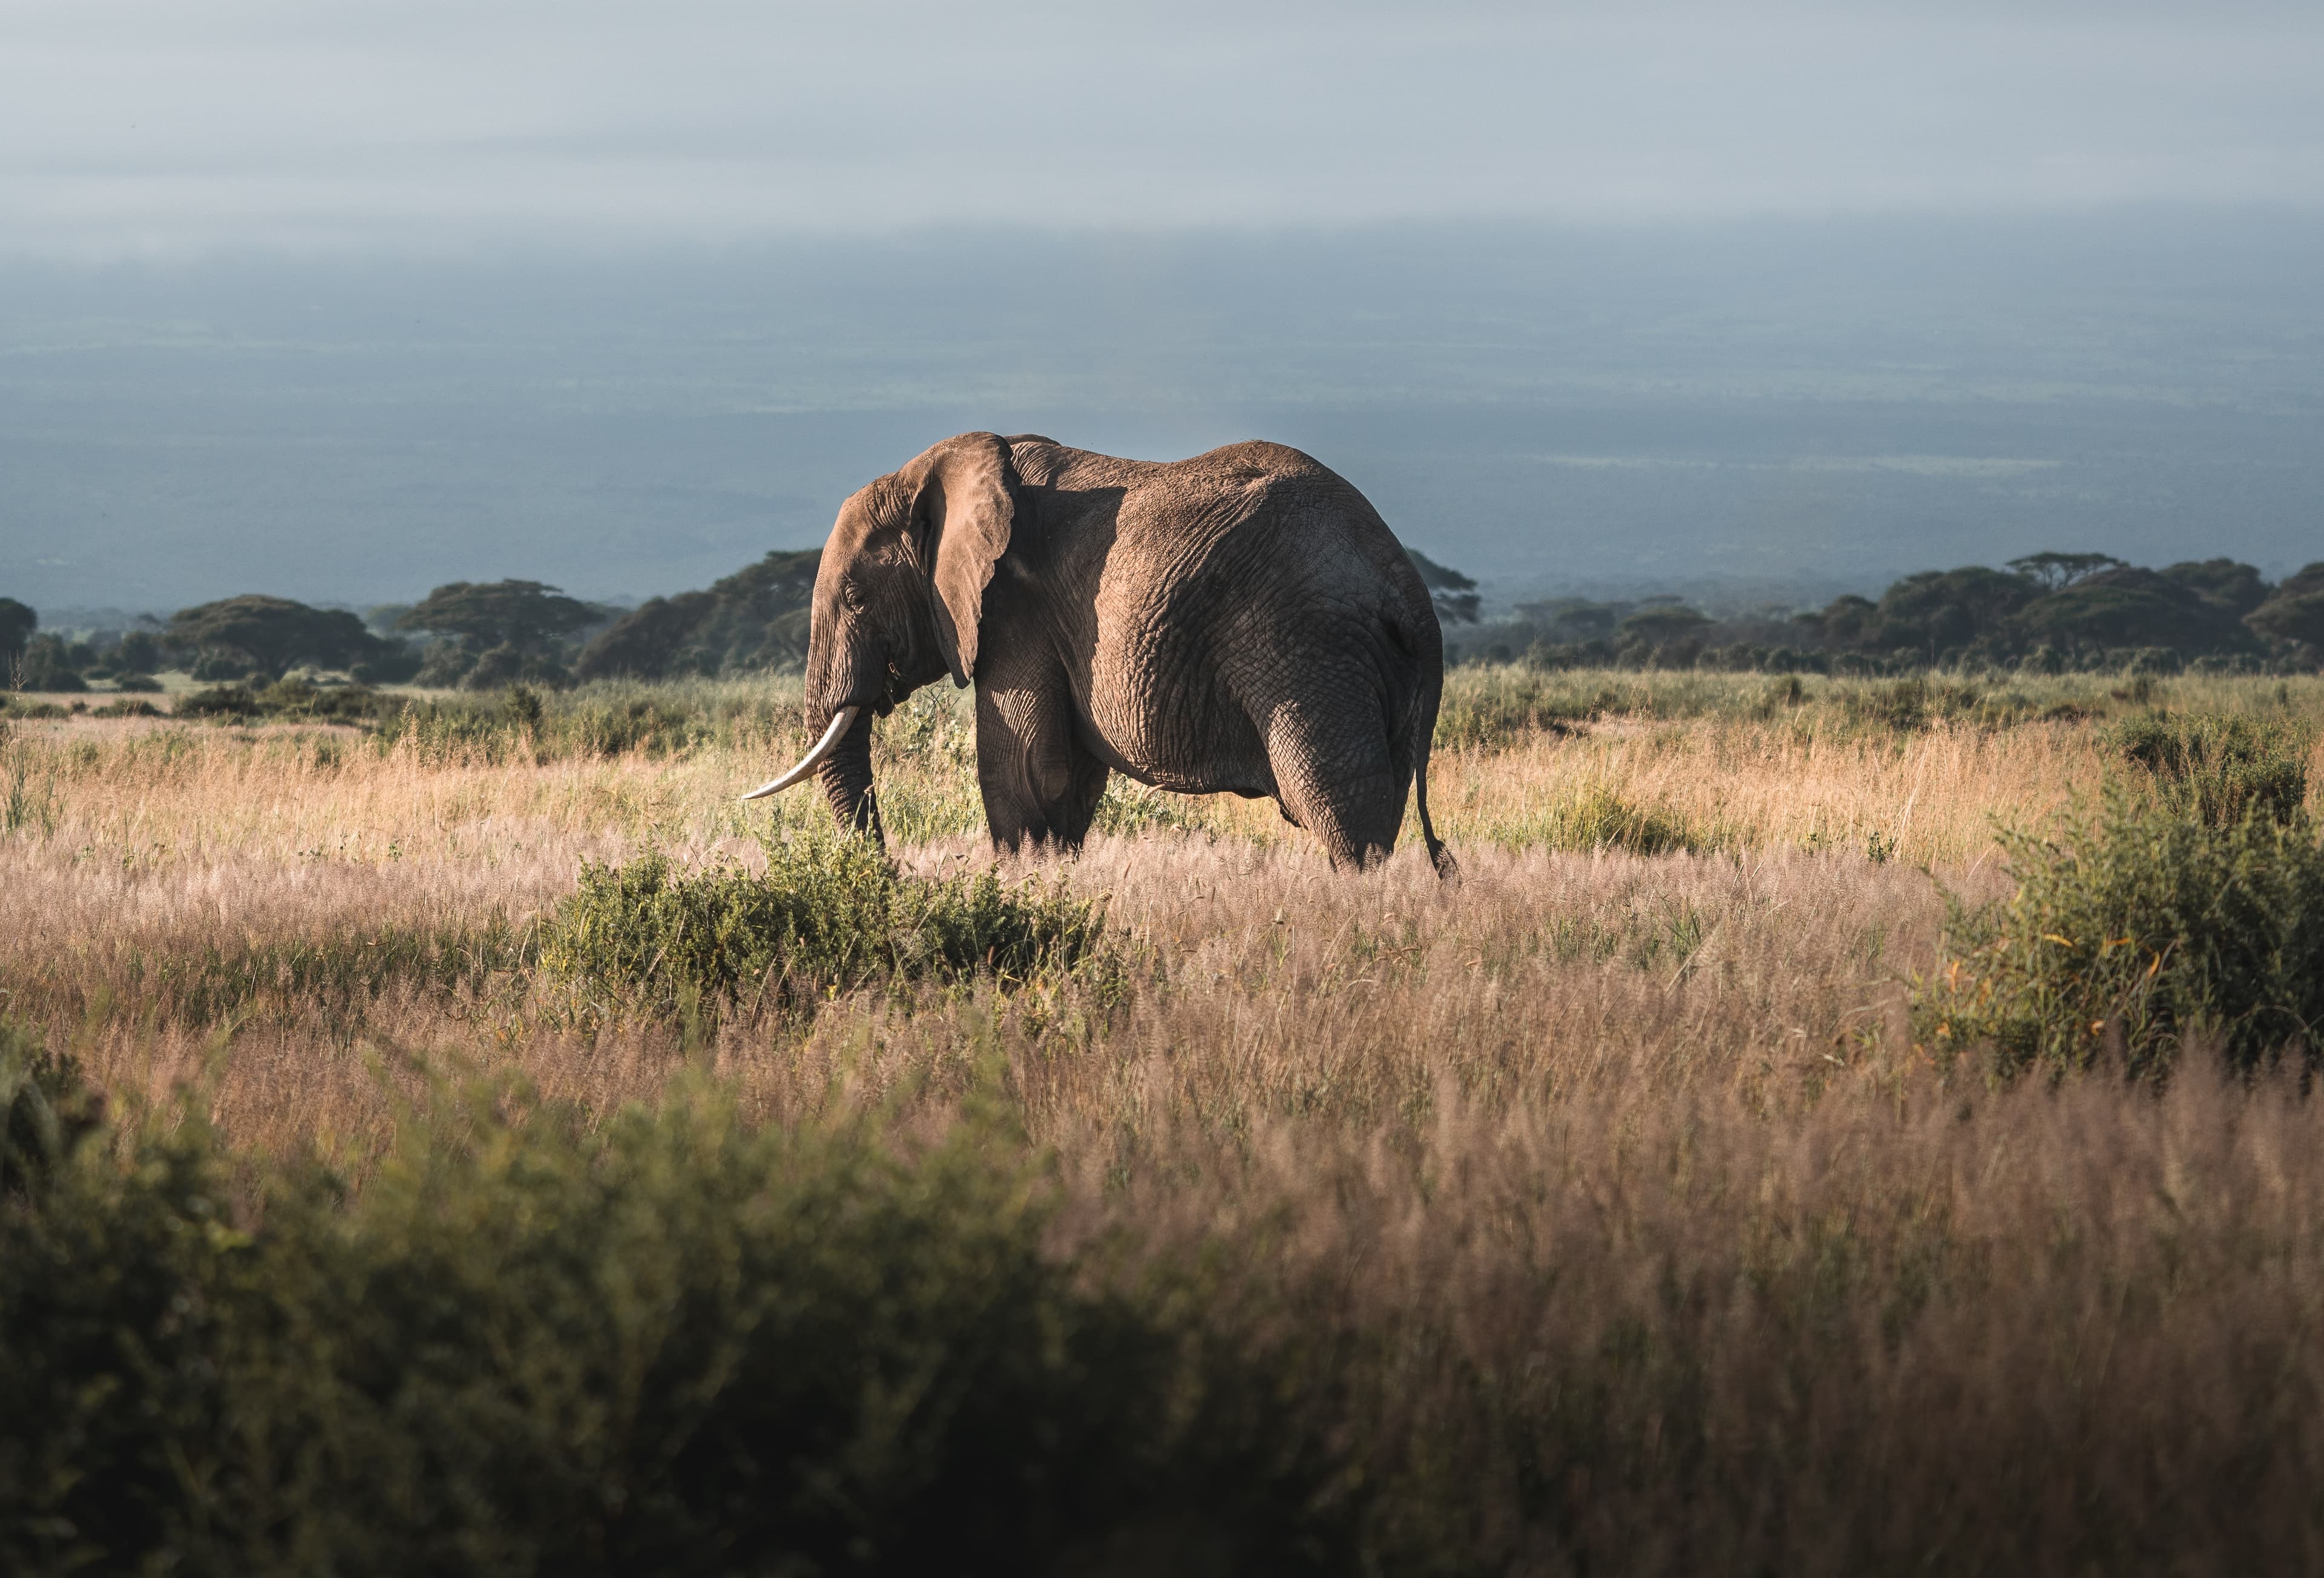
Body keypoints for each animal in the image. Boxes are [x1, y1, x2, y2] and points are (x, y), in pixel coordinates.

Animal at [742, 432, 1455, 875]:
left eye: (857, 599)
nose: (890, 875)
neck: (933, 471)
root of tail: (1408, 590)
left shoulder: (1015, 611)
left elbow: (1025, 769)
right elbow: (1067, 781)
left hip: (1307, 654)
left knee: (1338, 808)